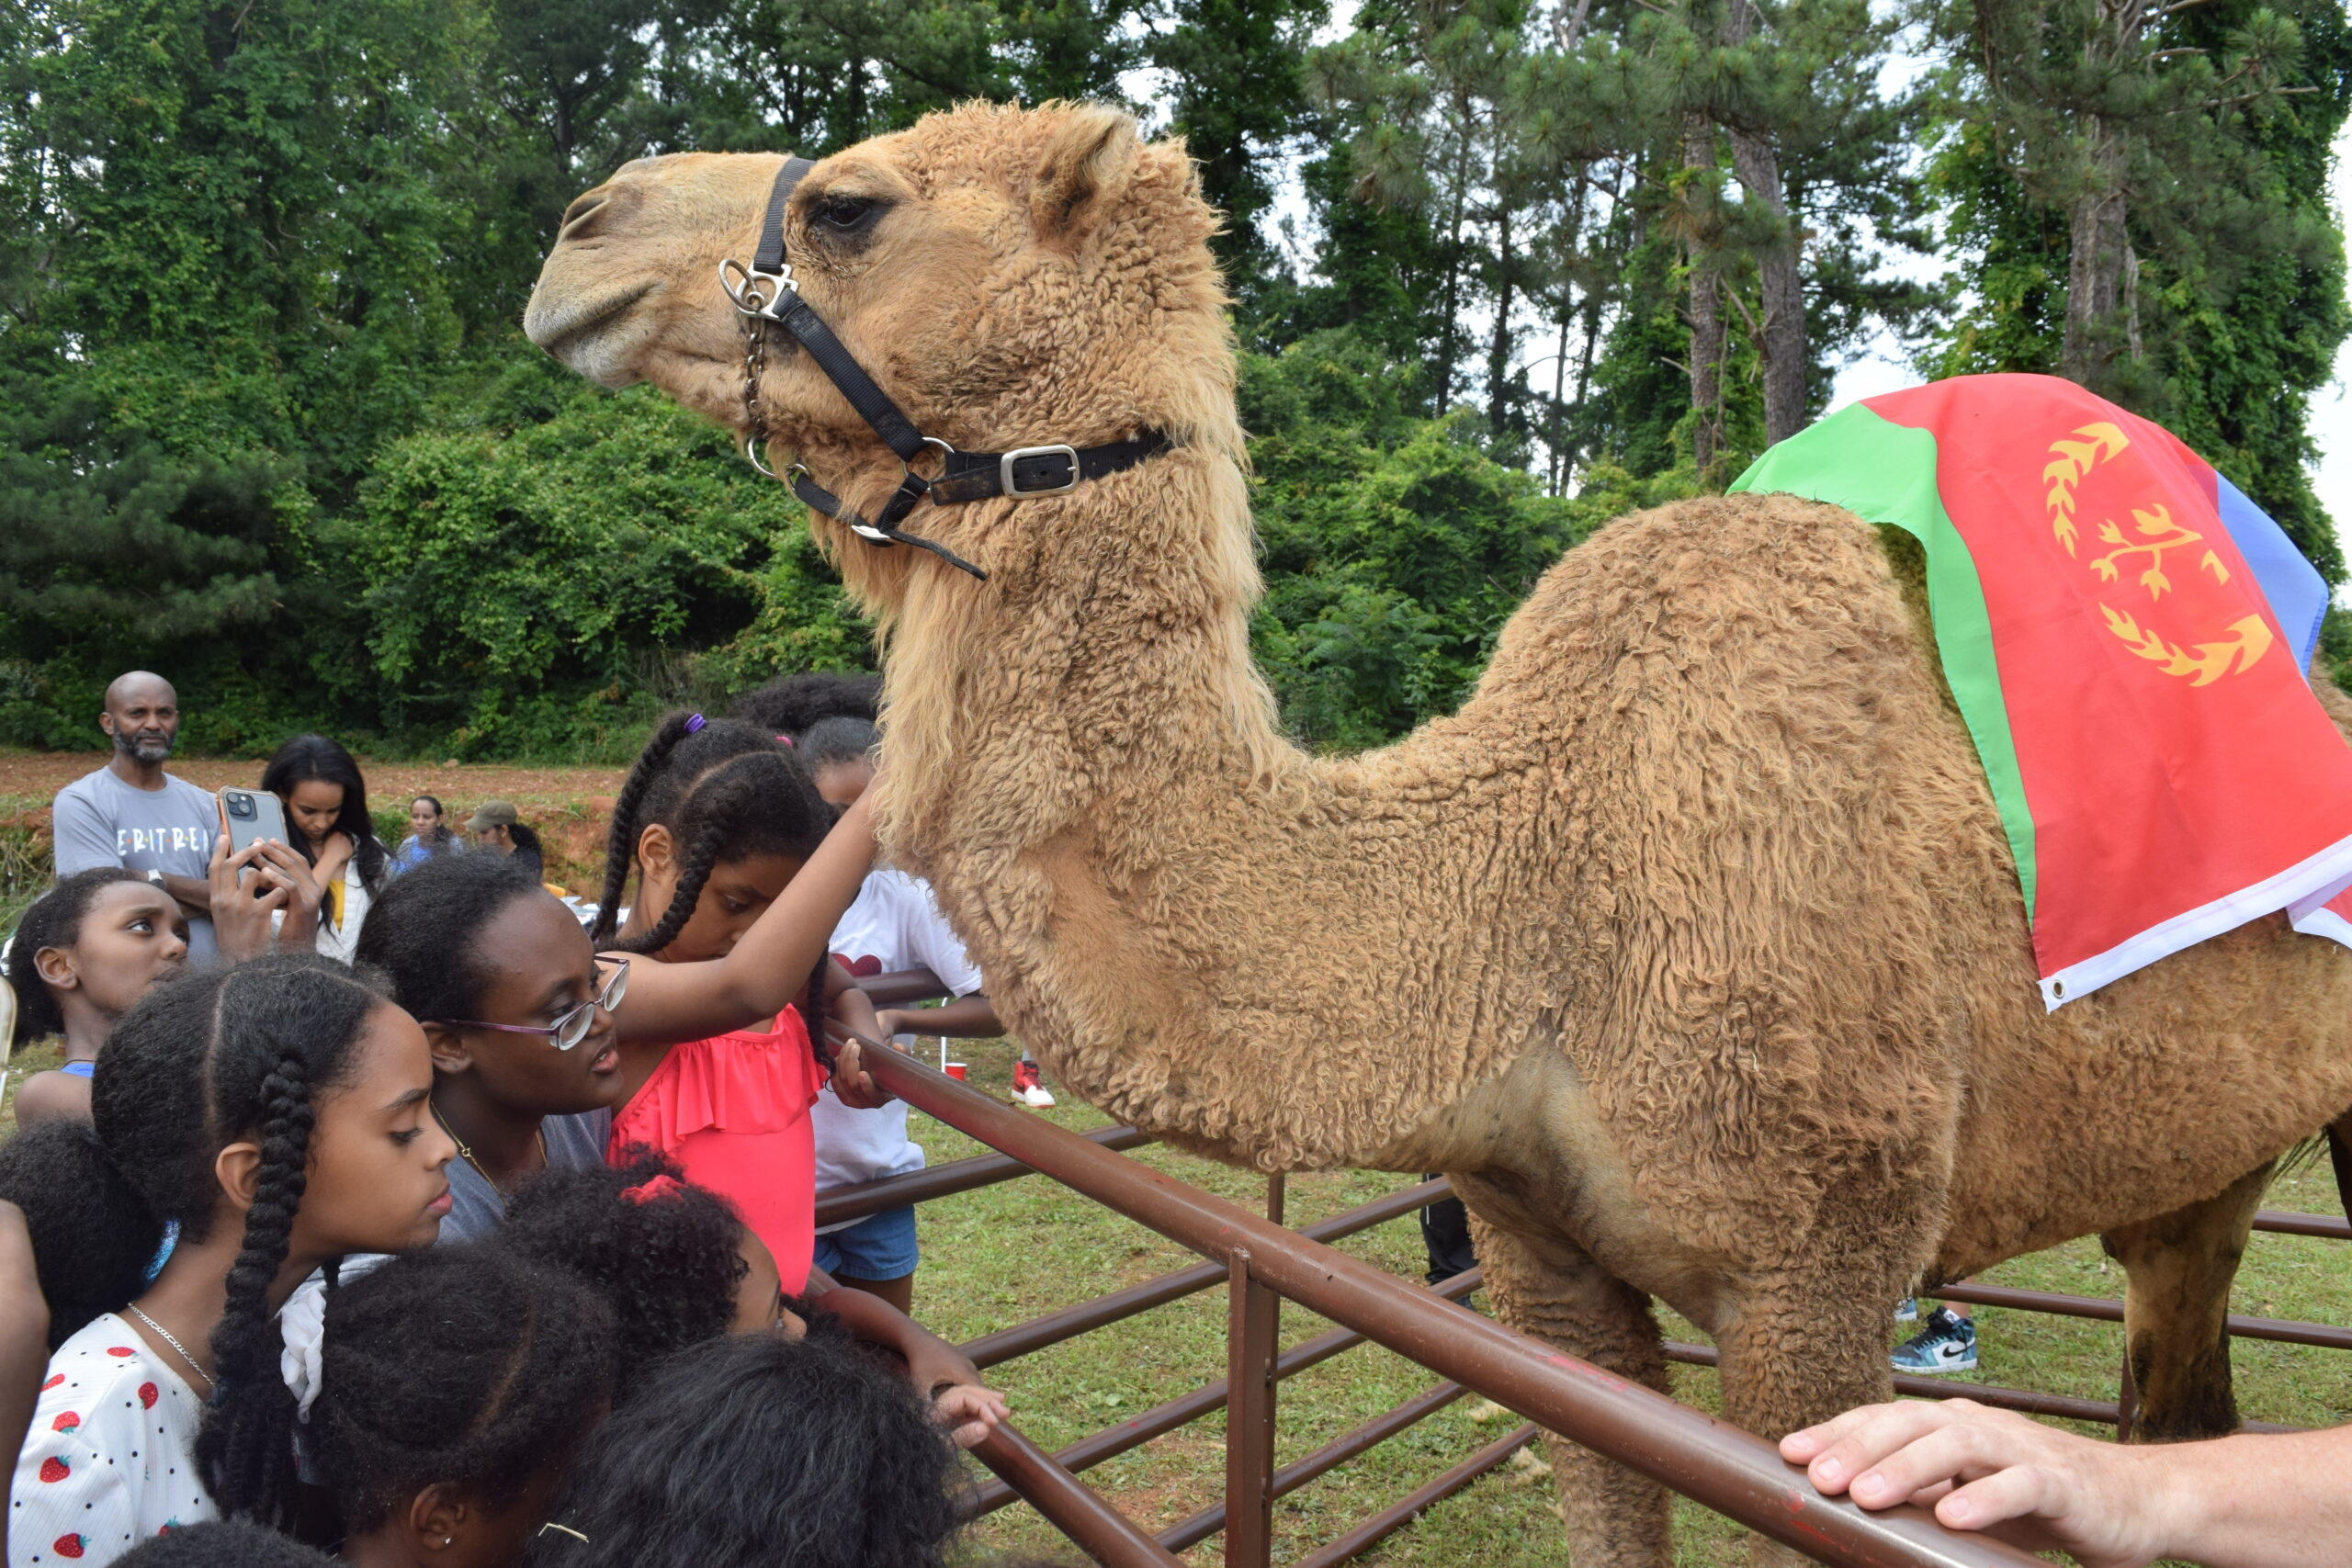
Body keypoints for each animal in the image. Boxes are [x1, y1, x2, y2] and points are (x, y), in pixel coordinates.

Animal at [523, 103, 2352, 1566]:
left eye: (848, 205)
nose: (579, 228)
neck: (1526, 893)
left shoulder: (1818, 1280)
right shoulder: (1550, 1270)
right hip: (2201, 1154)